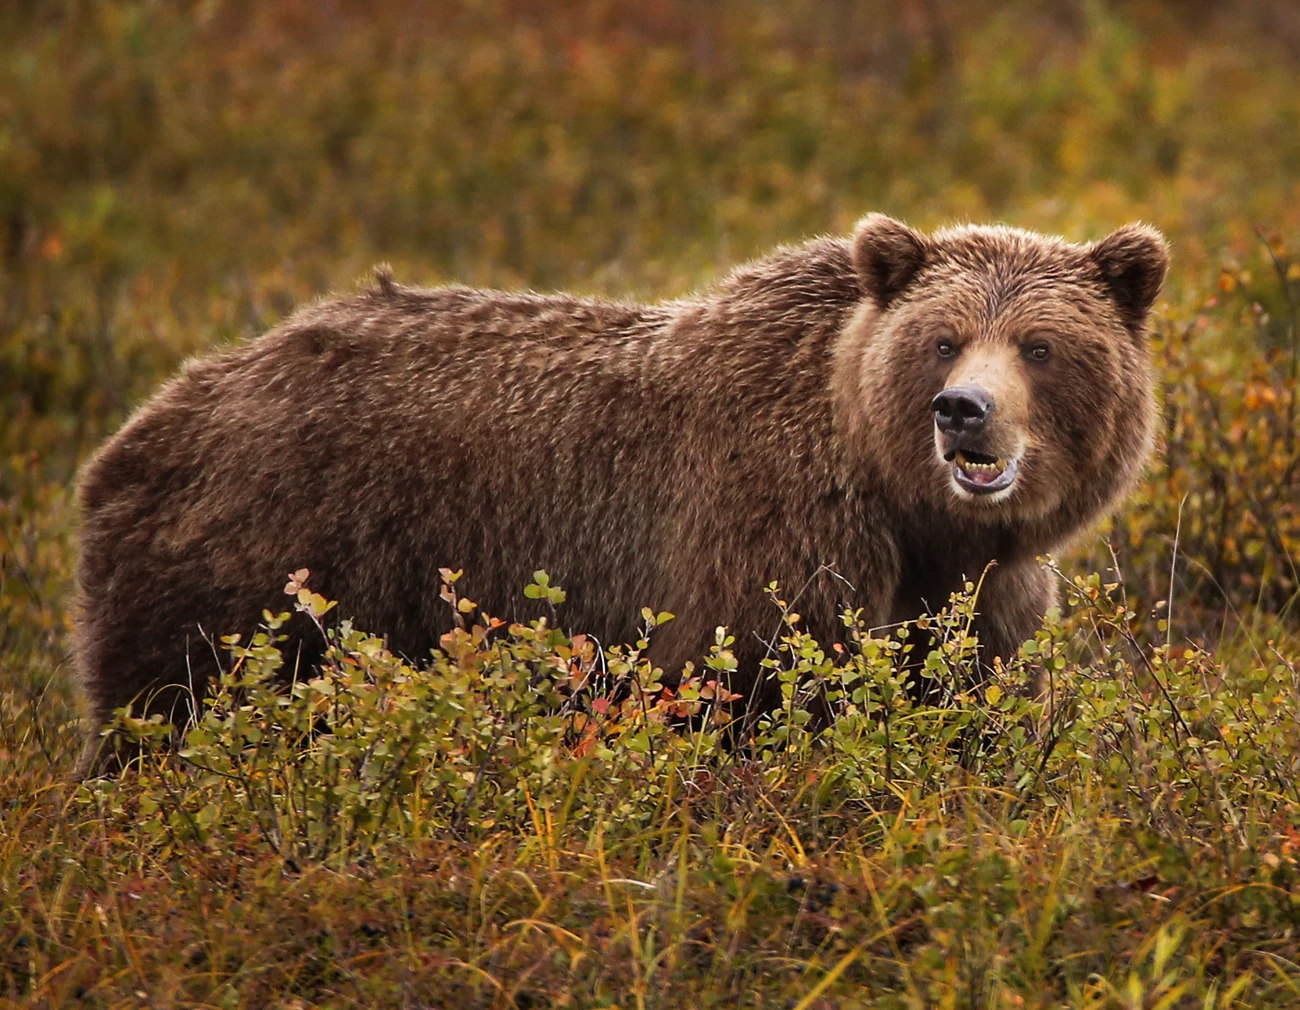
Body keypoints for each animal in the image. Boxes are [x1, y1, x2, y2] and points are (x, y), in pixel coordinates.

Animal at [73, 214, 1168, 775]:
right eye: (942, 338)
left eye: (1039, 344)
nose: (962, 411)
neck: (906, 506)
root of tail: (153, 412)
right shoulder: (766, 536)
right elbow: (760, 690)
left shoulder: (984, 590)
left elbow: (969, 692)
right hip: (253, 558)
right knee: (170, 706)